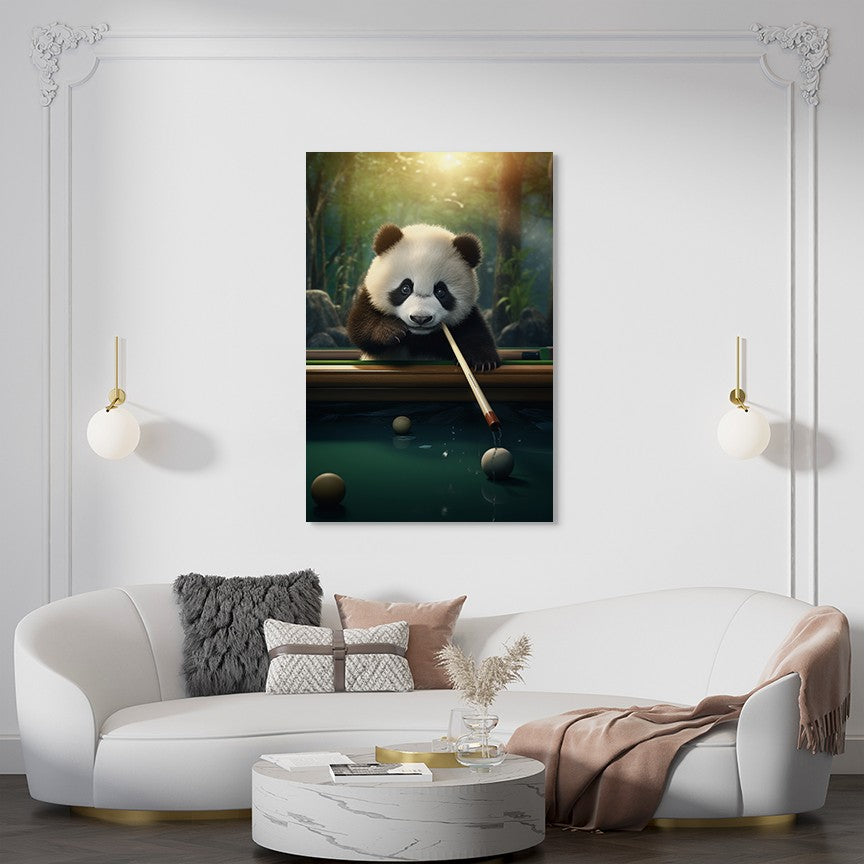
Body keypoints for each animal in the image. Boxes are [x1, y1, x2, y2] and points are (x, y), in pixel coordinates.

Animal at [347, 223, 501, 372]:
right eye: (405, 288)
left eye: (440, 291)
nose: (420, 318)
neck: (417, 337)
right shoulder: (368, 299)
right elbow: (360, 326)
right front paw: (391, 331)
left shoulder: (466, 315)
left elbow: (474, 331)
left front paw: (482, 360)